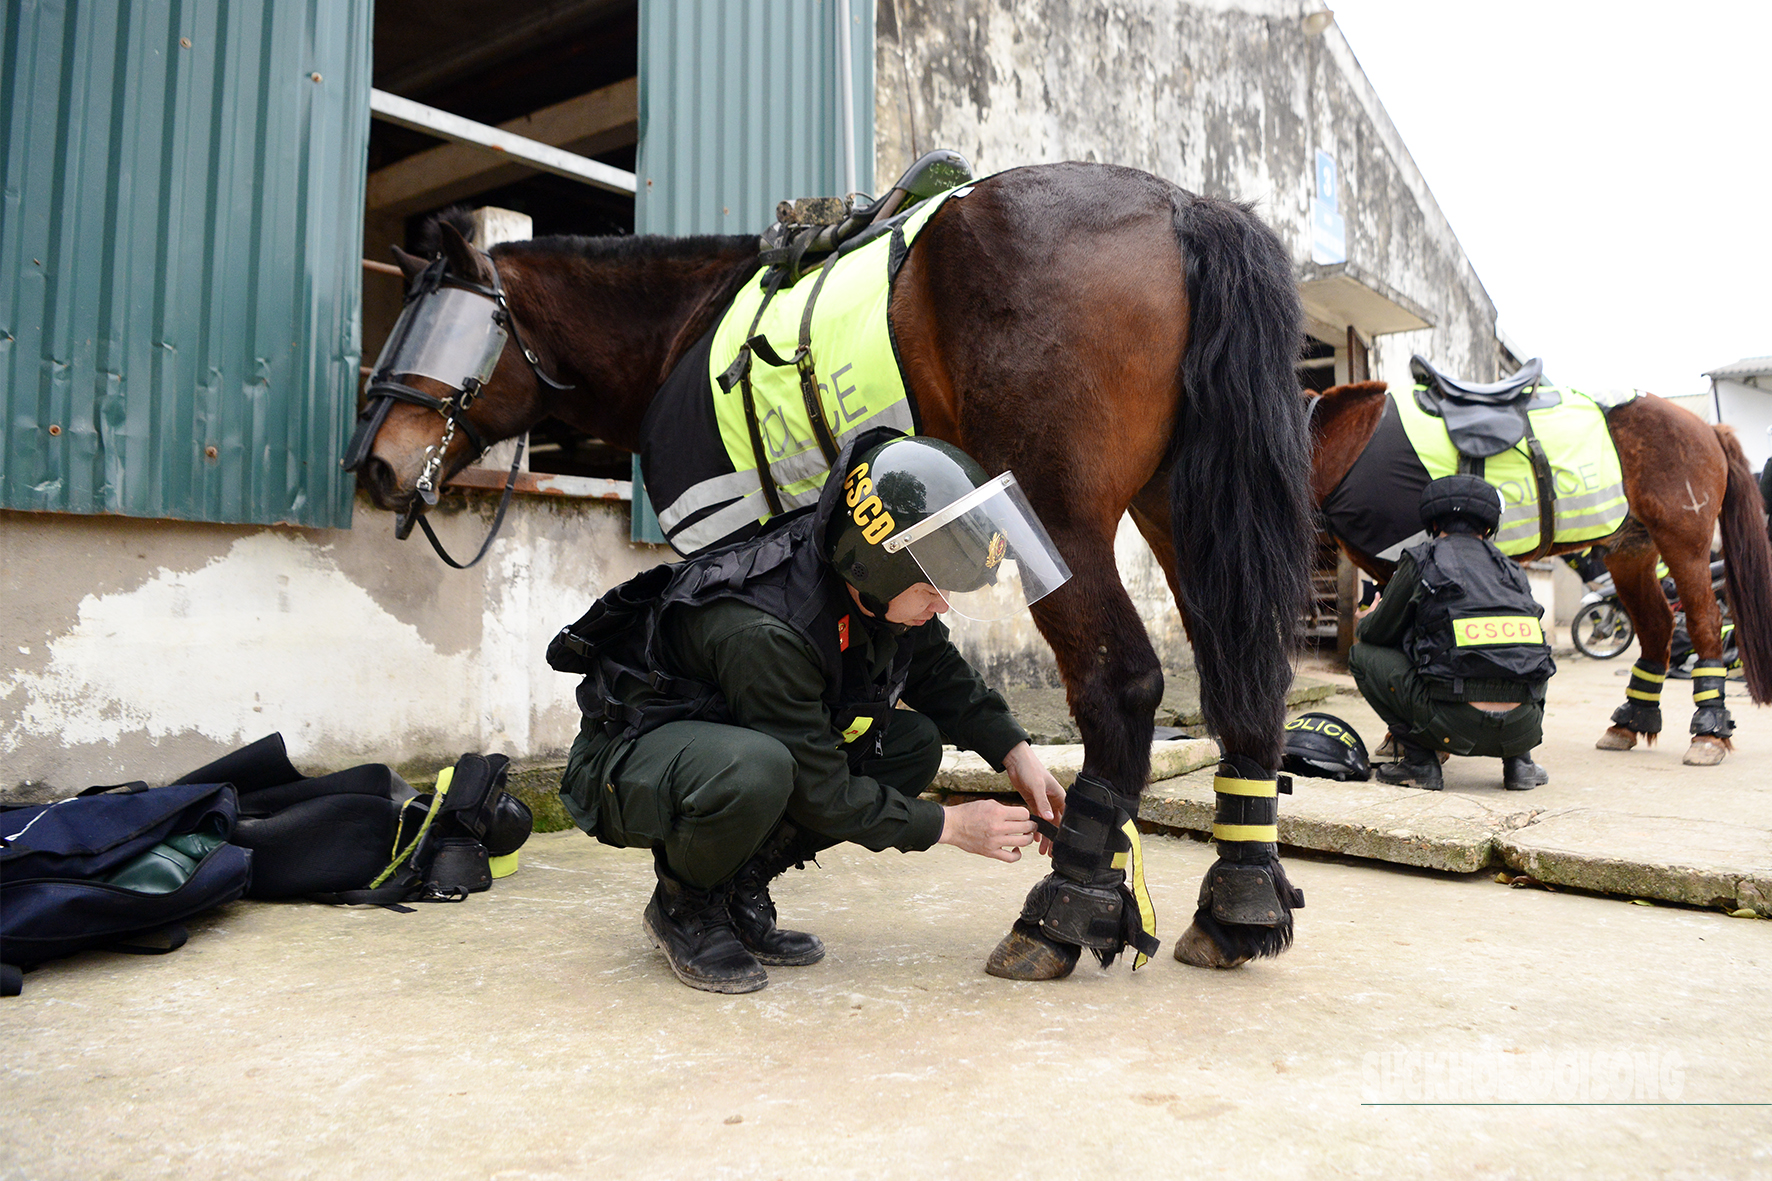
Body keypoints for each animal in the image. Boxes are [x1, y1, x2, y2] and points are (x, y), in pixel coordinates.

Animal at [345, 161, 1318, 971]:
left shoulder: (721, 528)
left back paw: (1060, 912)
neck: (679, 331)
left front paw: (698, 904)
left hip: (1056, 513)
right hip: (1184, 509)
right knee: (1247, 679)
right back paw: (1238, 905)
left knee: (1123, 682)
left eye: (436, 325)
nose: (374, 464)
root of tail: (1182, 206)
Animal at [1304, 379, 1772, 762]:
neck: (1351, 444)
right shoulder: (1390, 573)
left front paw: (1415, 743)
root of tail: (1708, 429)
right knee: (1657, 625)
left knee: (1704, 621)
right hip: (1631, 551)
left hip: (1683, 542)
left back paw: (1709, 733)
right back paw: (1629, 723)